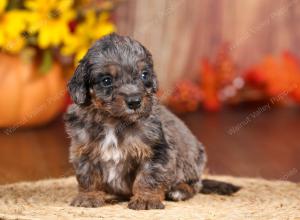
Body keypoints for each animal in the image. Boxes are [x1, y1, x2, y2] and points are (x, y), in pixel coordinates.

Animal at [65, 33, 239, 211]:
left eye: (144, 75)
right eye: (107, 81)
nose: (134, 102)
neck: (114, 122)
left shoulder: (156, 151)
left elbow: (148, 177)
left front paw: (146, 200)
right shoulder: (83, 151)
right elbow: (88, 176)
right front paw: (89, 197)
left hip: (193, 160)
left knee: (196, 185)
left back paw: (179, 190)